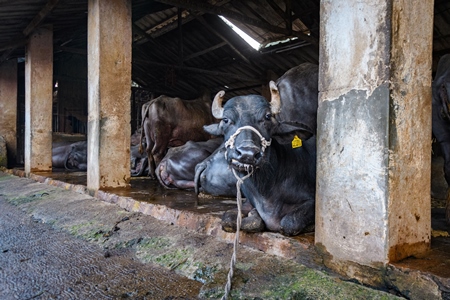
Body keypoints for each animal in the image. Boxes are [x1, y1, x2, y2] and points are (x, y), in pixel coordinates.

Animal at [204, 90, 316, 236]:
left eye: (267, 117)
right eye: (226, 120)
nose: (247, 154)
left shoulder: (312, 201)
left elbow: (289, 223)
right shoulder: (247, 201)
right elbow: (228, 220)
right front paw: (254, 215)